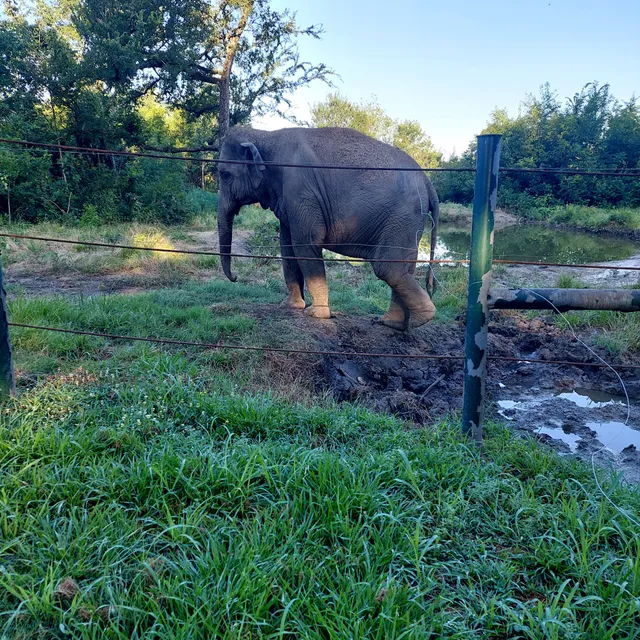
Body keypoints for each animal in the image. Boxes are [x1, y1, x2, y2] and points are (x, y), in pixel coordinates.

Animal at [217, 126, 440, 331]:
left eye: (225, 175)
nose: (235, 278)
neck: (265, 134)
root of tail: (429, 183)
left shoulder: (301, 192)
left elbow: (305, 243)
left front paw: (316, 314)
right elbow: (287, 247)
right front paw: (291, 306)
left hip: (403, 217)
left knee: (388, 268)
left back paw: (421, 318)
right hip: (409, 222)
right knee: (404, 267)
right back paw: (391, 322)